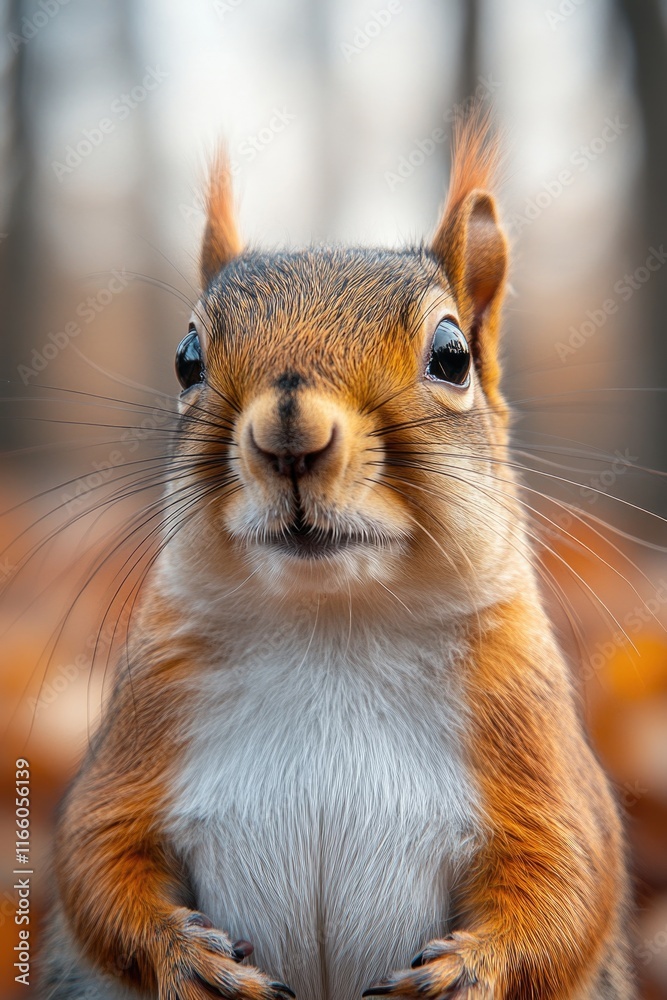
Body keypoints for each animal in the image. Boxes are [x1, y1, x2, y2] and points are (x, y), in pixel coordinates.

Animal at [40, 116, 635, 1000]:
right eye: (186, 358)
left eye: (452, 356)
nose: (290, 434)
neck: (331, 628)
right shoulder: (137, 743)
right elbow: (94, 861)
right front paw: (188, 957)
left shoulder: (537, 761)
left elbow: (567, 882)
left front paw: (466, 971)